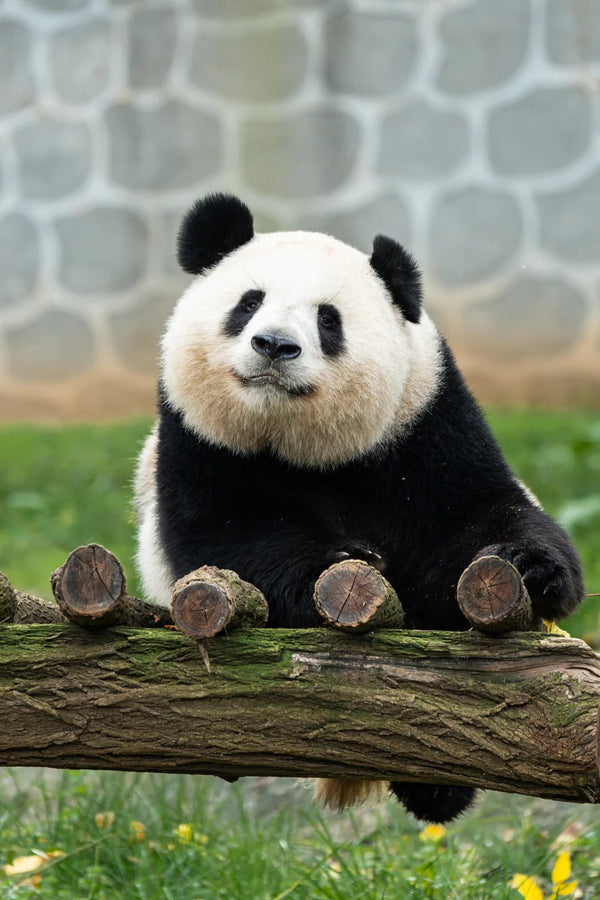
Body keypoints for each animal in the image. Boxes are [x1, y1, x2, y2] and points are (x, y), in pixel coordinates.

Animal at [135, 192, 583, 824]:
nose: (275, 346)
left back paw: (436, 793)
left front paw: (529, 566)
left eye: (329, 319)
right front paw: (341, 562)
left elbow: (477, 514)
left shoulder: (426, 424)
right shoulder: (198, 442)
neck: (303, 447)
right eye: (249, 303)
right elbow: (231, 535)